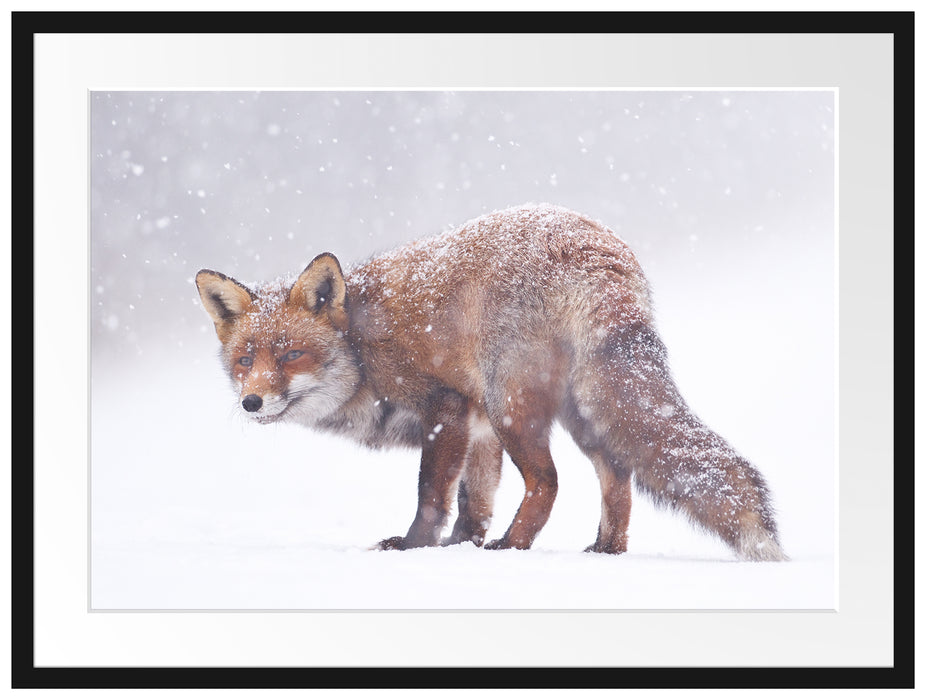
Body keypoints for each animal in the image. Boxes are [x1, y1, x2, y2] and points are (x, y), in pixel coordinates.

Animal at [198, 204, 792, 564]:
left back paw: (513, 547)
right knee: (617, 476)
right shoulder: (477, 428)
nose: (252, 401)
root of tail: (592, 245)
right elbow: (473, 503)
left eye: (292, 355)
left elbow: (432, 496)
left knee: (549, 482)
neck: (362, 348)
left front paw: (414, 548)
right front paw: (460, 547)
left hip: (514, 404)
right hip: (579, 412)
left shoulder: (446, 408)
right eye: (245, 360)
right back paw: (603, 551)